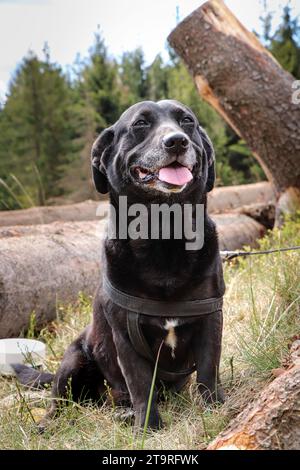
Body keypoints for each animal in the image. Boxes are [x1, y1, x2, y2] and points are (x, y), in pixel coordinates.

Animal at [14, 100, 225, 430]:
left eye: (187, 121)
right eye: (140, 124)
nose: (177, 141)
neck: (163, 235)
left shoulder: (210, 318)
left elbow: (207, 371)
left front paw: (215, 409)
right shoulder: (125, 335)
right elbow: (140, 384)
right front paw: (148, 427)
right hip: (75, 357)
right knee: (60, 398)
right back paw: (52, 422)